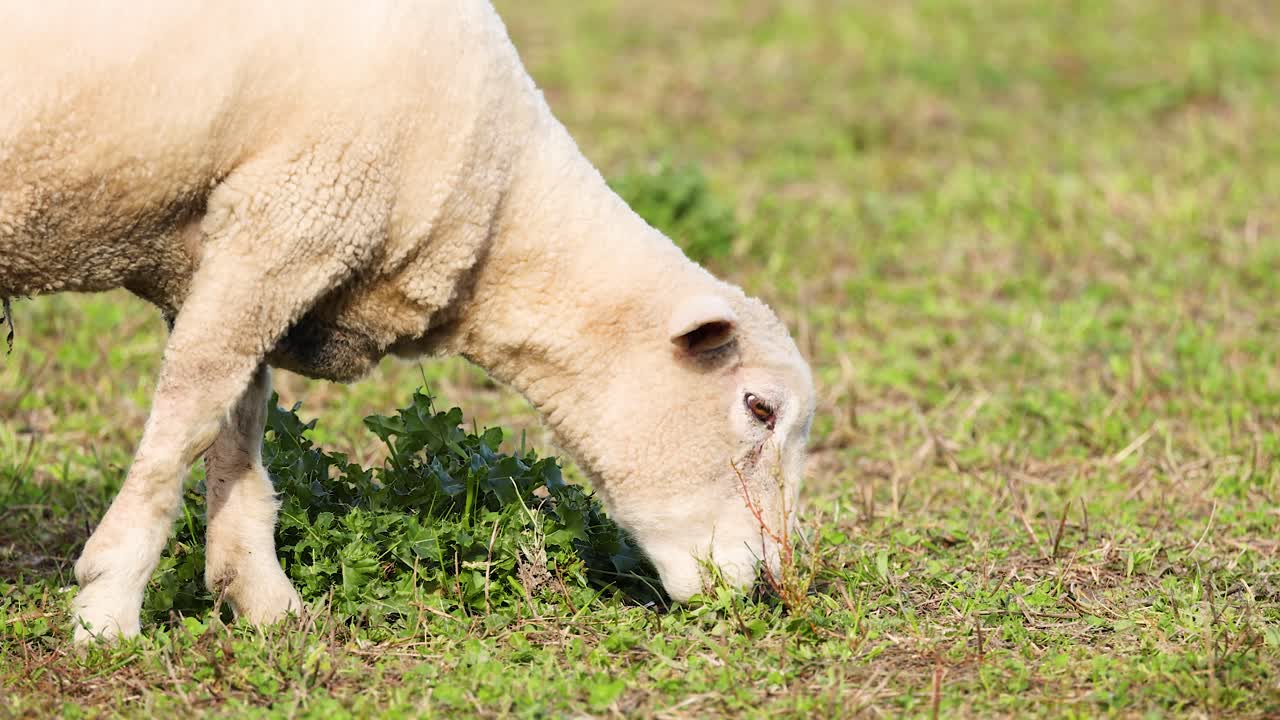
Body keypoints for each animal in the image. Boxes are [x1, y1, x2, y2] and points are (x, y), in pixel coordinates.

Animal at [0, 0, 816, 642]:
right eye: (759, 408)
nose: (771, 585)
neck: (493, 214)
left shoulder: (258, 234)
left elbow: (238, 431)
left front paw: (264, 602)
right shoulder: (291, 215)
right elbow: (190, 417)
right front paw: (108, 608)